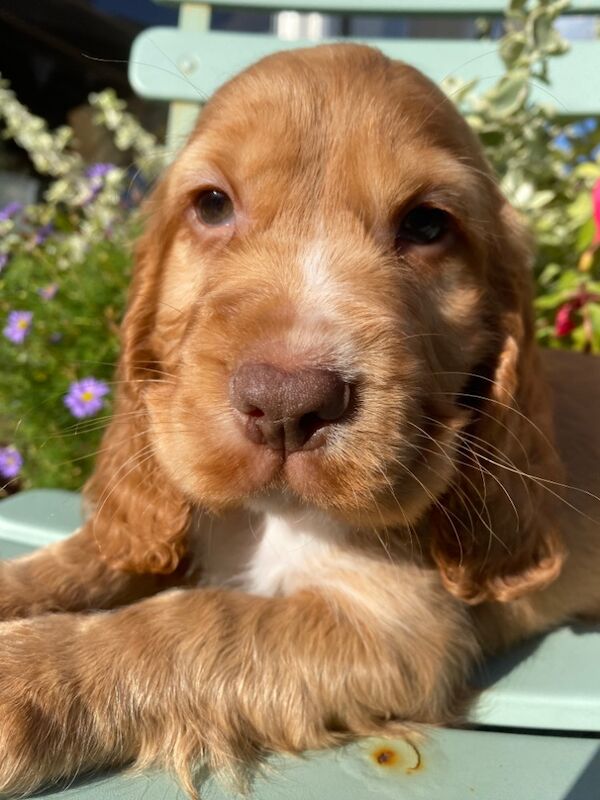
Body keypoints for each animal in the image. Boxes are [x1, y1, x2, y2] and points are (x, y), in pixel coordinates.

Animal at [1, 45, 600, 800]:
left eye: (428, 225)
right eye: (213, 204)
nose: (286, 402)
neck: (266, 516)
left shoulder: (396, 629)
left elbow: (190, 623)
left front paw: (19, 678)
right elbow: (74, 561)